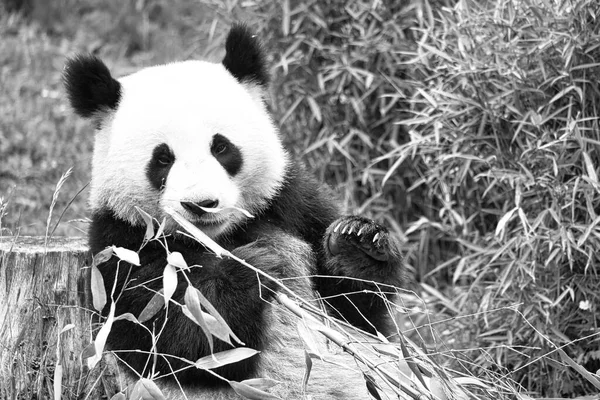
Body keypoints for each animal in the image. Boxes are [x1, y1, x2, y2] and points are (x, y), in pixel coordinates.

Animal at [64, 24, 404, 400]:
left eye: (221, 147)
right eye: (162, 159)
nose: (201, 203)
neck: (218, 236)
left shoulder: (290, 204)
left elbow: (362, 315)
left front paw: (356, 241)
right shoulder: (120, 244)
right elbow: (176, 334)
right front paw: (255, 266)